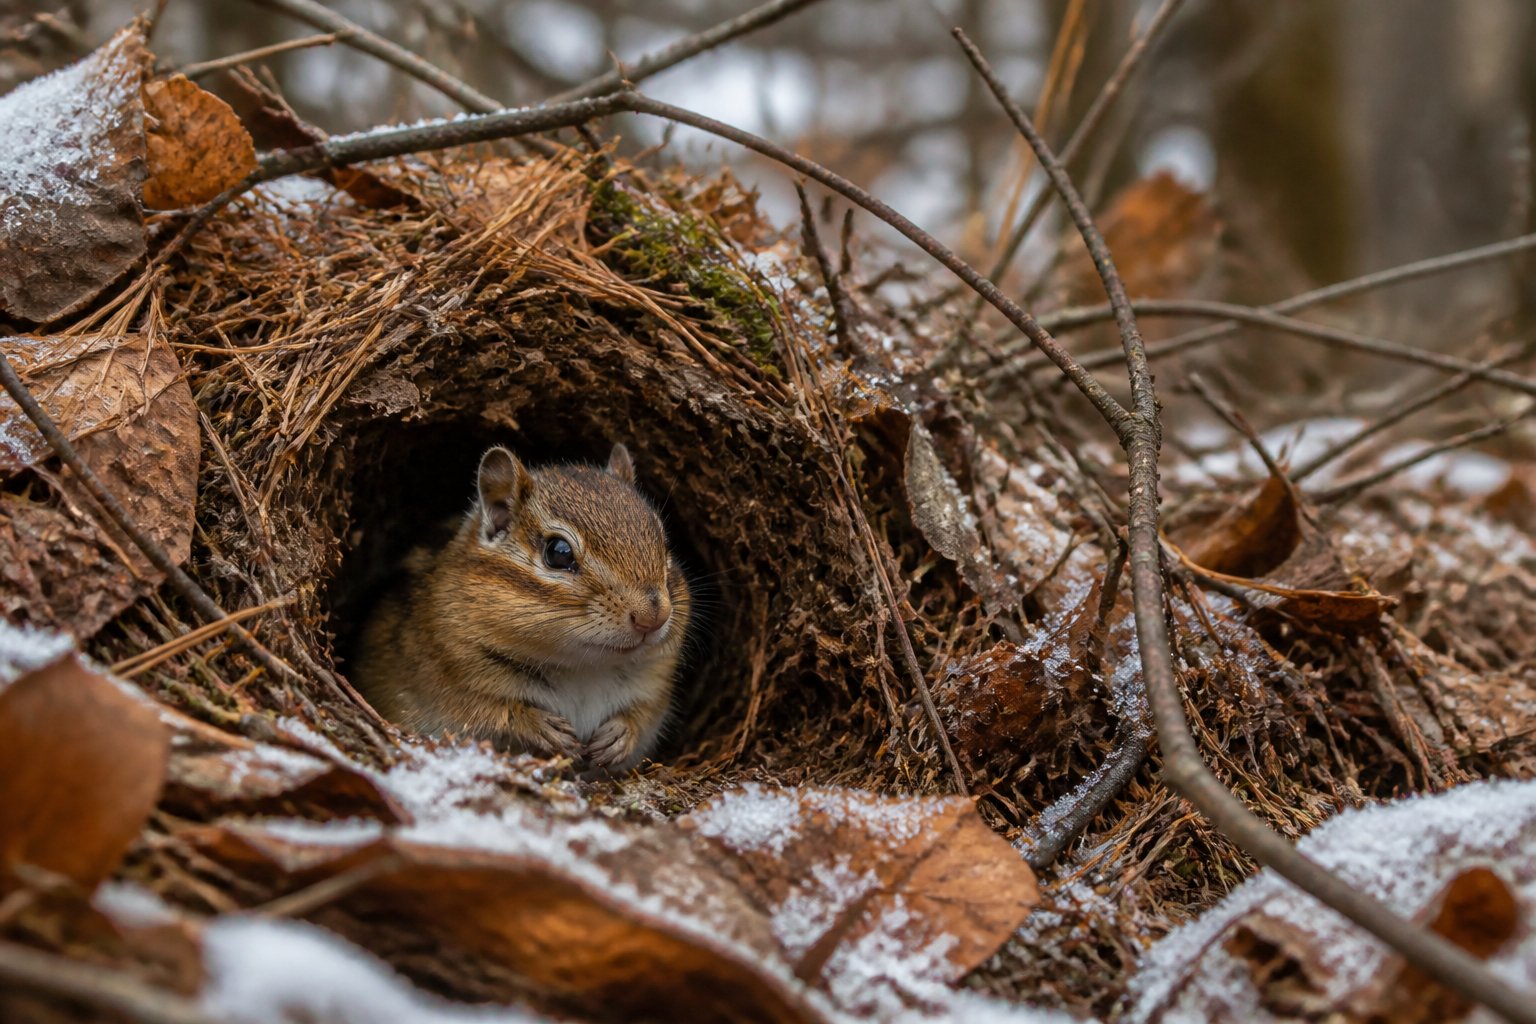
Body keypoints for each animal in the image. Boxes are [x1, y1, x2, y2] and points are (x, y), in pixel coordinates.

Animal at [352, 443, 691, 773]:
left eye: (664, 543)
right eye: (559, 552)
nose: (653, 617)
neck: (584, 669)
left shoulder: (654, 687)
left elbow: (642, 715)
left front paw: (620, 735)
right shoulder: (446, 681)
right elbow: (488, 711)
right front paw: (538, 725)